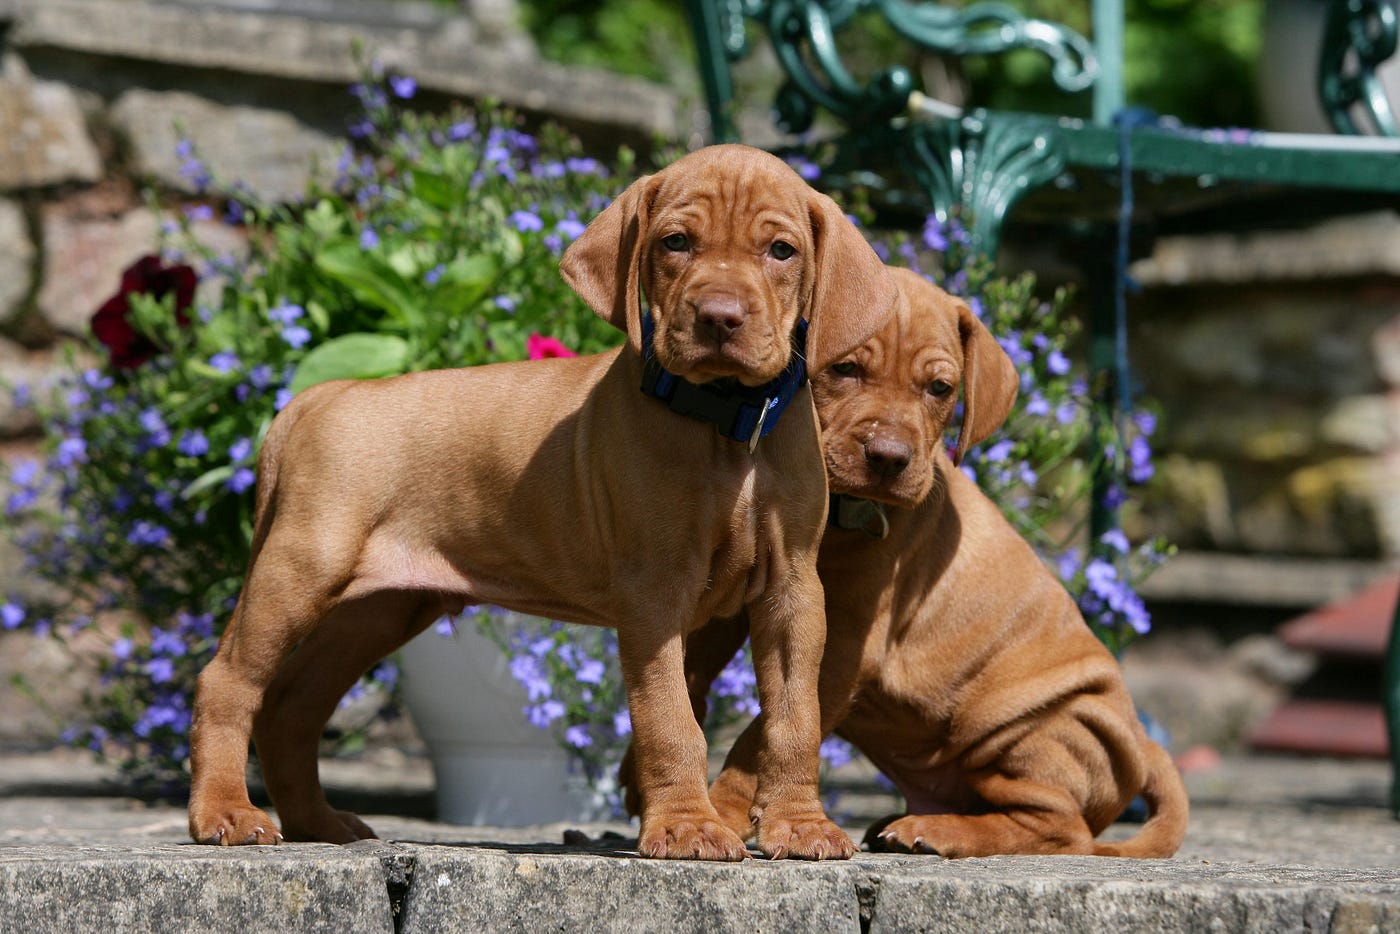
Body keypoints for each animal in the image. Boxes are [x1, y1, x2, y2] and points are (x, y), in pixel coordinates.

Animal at [663, 266, 1181, 856]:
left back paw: (932, 831)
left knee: (1060, 829)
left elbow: (769, 730)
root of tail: (1145, 746)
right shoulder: (733, 601)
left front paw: (725, 810)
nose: (889, 458)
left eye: (939, 389)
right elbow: (692, 677)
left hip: (1027, 731)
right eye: (843, 368)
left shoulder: (839, 647)